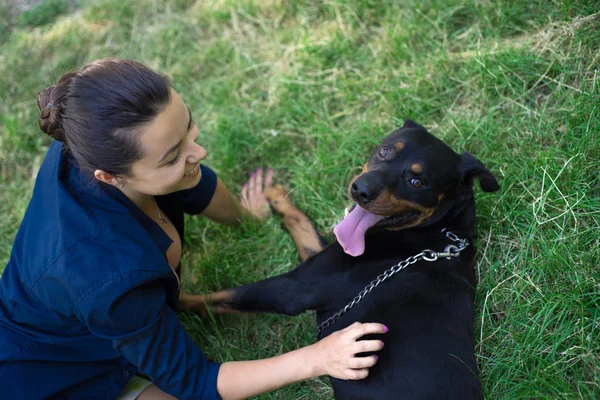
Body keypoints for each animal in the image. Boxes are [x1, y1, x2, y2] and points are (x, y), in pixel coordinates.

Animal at [205, 119, 496, 400]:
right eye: (384, 151)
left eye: (417, 182)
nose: (360, 190)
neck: (439, 233)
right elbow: (301, 223)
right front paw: (274, 196)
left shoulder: (293, 289)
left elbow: (217, 298)